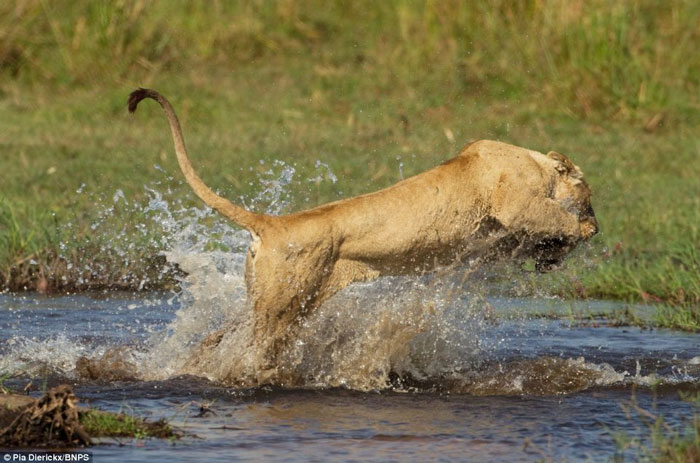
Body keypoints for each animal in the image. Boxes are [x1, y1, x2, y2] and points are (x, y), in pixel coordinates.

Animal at [128, 88, 598, 382]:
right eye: (589, 194)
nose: (596, 223)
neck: (537, 164)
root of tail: (273, 223)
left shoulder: (496, 236)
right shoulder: (514, 203)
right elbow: (556, 218)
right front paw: (581, 230)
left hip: (273, 296)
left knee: (219, 335)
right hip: (285, 301)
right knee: (254, 347)